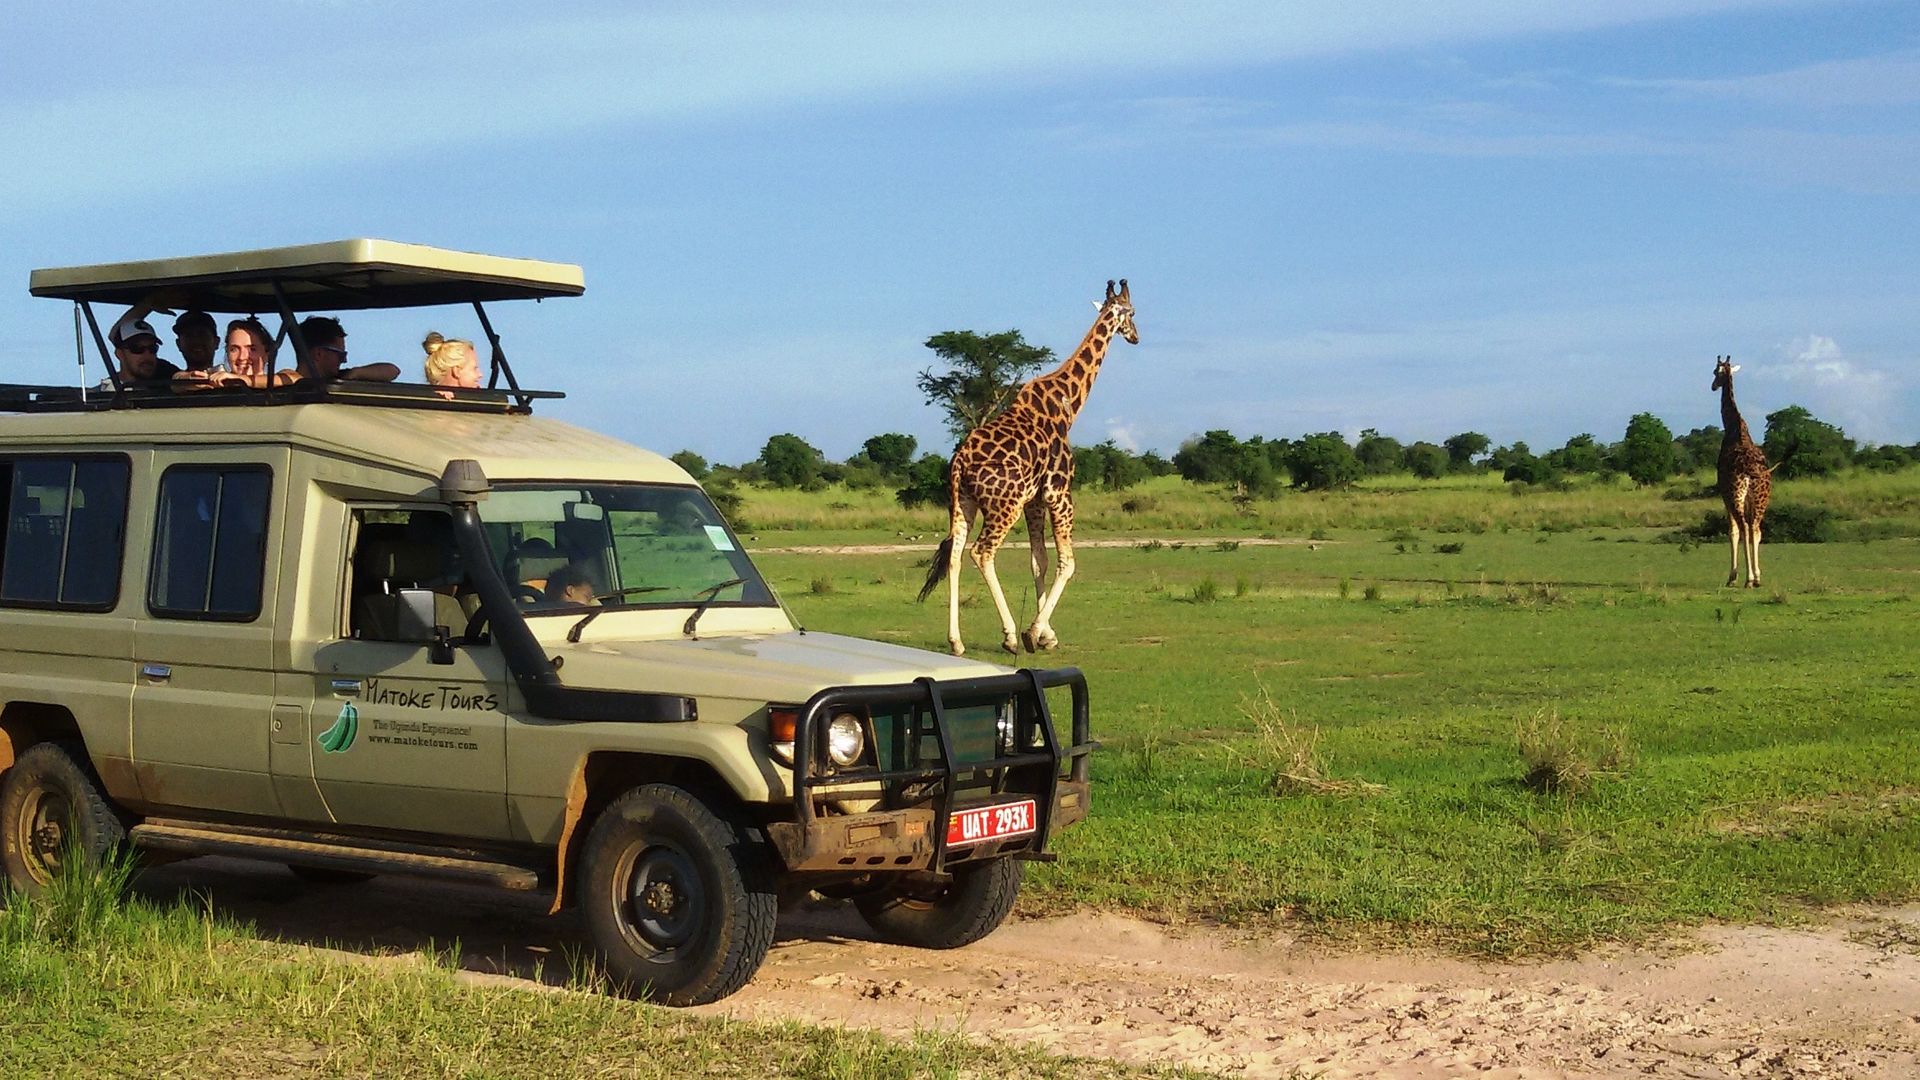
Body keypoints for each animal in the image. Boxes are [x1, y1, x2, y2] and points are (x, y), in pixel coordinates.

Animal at [917, 276, 1128, 653]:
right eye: (1131, 312)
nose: (1135, 335)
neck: (1068, 406)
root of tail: (959, 462)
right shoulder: (1059, 492)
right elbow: (1066, 562)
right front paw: (1036, 632)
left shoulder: (1035, 500)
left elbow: (1038, 560)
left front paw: (1047, 634)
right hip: (1005, 506)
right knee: (982, 552)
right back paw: (1011, 636)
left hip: (963, 503)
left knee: (955, 554)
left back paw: (956, 641)